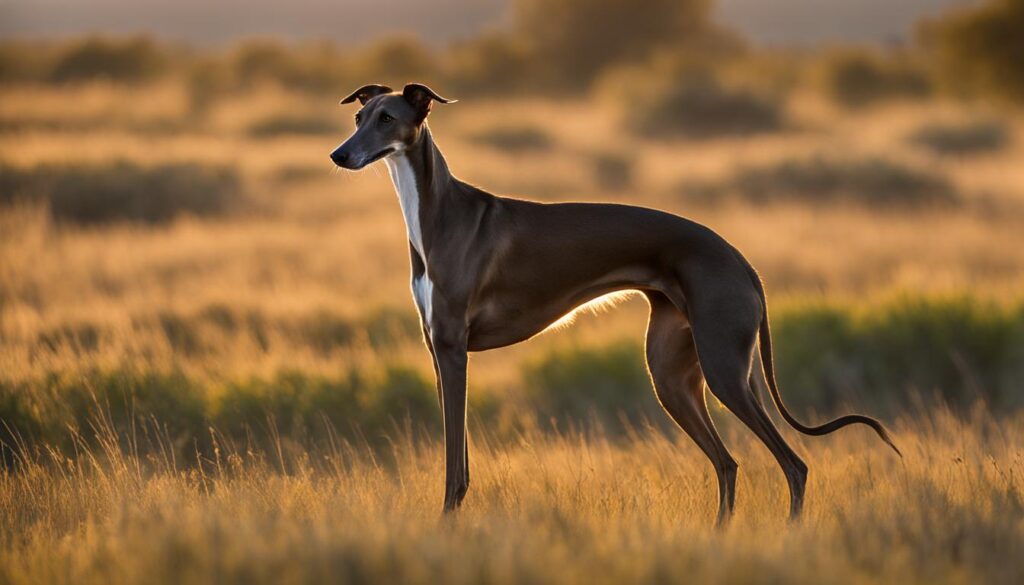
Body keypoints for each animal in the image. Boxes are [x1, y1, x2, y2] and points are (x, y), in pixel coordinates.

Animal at [327, 83, 897, 524]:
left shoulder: (452, 351)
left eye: (387, 118)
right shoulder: (438, 352)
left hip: (722, 370)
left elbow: (454, 464)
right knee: (728, 462)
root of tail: (741, 261)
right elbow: (458, 459)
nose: (339, 155)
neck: (436, 213)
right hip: (673, 375)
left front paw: (446, 525)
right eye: (358, 116)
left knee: (793, 463)